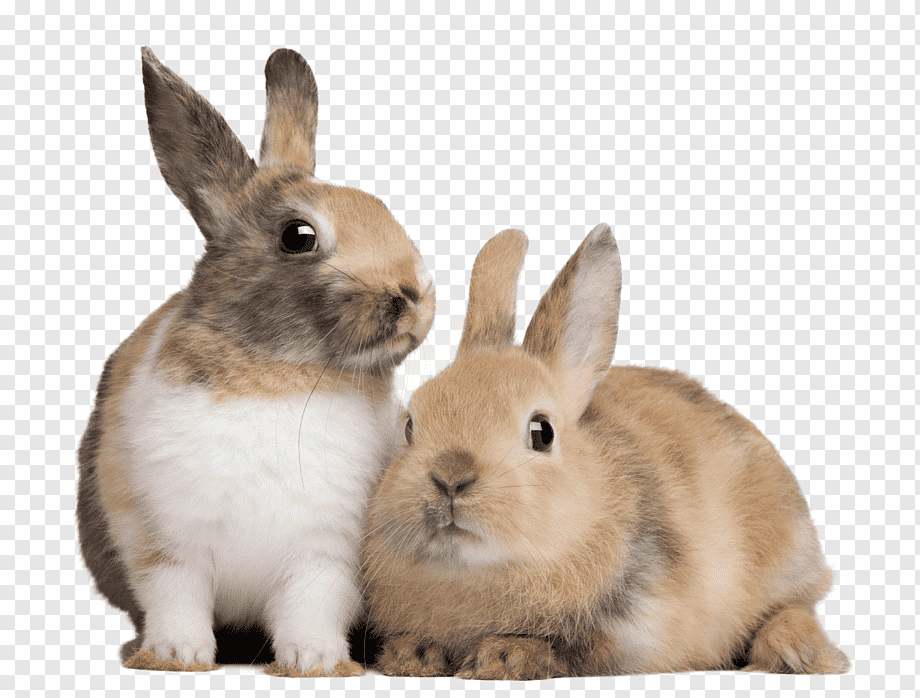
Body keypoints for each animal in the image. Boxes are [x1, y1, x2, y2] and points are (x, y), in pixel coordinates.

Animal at [76, 46, 435, 677]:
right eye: (299, 235)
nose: (414, 293)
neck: (285, 377)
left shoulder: (327, 554)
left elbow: (310, 607)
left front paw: (315, 662)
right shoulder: (163, 542)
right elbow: (175, 597)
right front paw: (177, 656)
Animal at [360, 224, 849, 679]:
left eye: (542, 432)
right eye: (409, 426)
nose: (450, 477)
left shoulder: (632, 629)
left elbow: (569, 650)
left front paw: (504, 657)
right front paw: (412, 656)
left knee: (794, 607)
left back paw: (795, 652)